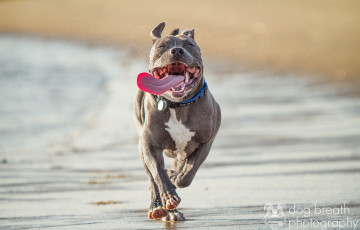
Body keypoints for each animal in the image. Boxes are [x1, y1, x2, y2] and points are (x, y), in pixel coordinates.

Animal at [134, 22, 221, 222]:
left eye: (189, 44)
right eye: (162, 46)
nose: (177, 51)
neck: (179, 106)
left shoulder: (205, 142)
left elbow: (188, 172)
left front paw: (176, 179)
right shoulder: (149, 146)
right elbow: (158, 174)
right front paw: (169, 196)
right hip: (142, 148)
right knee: (152, 180)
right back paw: (159, 208)